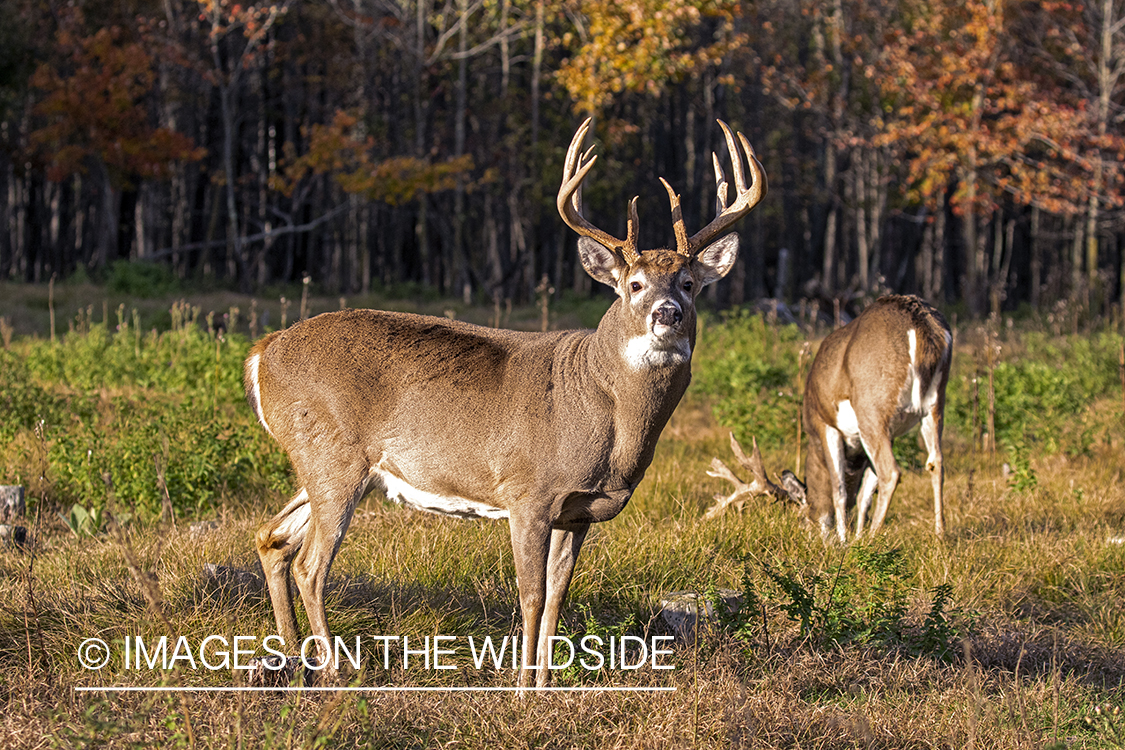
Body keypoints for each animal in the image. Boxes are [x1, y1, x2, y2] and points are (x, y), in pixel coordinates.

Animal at [239, 118, 765, 688]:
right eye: (634, 284)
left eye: (689, 283)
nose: (667, 313)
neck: (605, 417)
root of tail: (262, 352)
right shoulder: (527, 490)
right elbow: (531, 595)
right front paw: (520, 690)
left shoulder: (576, 512)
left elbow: (557, 597)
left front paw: (546, 685)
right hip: (333, 456)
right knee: (311, 565)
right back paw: (335, 673)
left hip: (324, 463)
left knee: (273, 538)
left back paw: (295, 663)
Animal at [706, 294, 954, 546]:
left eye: (802, 517)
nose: (809, 533)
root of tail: (923, 325)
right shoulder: (886, 435)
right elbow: (864, 494)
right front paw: (855, 537)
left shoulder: (824, 424)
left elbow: (839, 490)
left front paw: (843, 541)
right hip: (935, 403)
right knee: (936, 462)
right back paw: (939, 537)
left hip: (872, 408)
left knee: (891, 472)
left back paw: (874, 537)